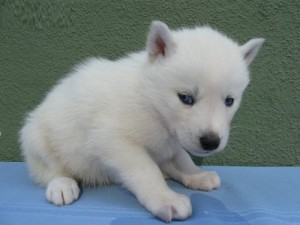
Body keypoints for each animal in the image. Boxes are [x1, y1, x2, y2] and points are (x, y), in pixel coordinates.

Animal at [20, 20, 262, 221]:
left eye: (229, 101)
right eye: (186, 98)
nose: (211, 142)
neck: (151, 103)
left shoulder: (171, 142)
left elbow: (181, 159)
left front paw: (196, 175)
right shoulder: (113, 140)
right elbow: (146, 170)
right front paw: (166, 199)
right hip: (38, 139)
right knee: (50, 169)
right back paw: (61, 186)